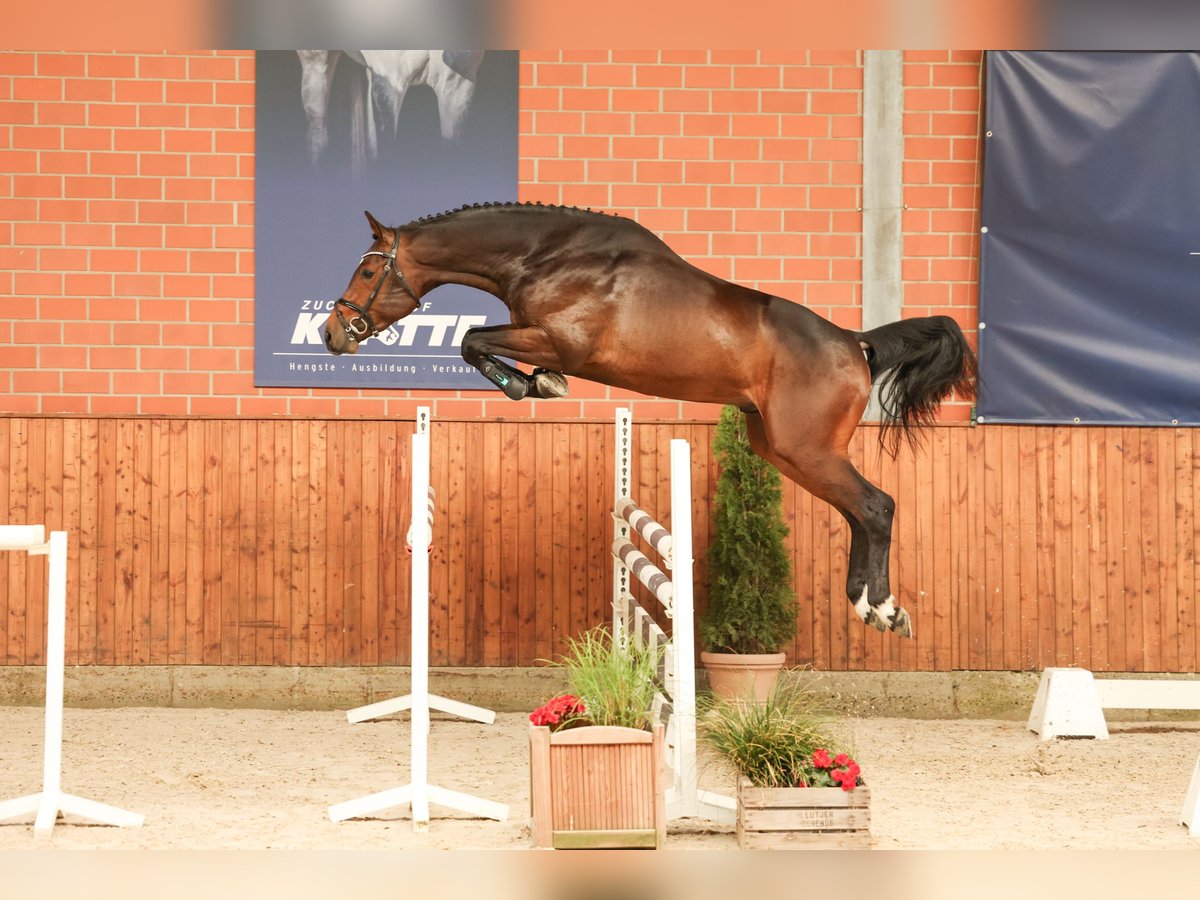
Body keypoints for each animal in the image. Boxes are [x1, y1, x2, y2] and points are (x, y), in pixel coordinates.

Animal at [324, 206, 979, 643]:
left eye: (366, 273)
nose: (332, 334)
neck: (546, 255)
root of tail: (854, 343)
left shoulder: (560, 342)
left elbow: (471, 340)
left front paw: (532, 384)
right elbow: (477, 341)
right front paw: (537, 382)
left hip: (806, 449)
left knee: (875, 506)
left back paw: (883, 609)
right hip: (783, 450)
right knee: (857, 512)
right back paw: (866, 603)